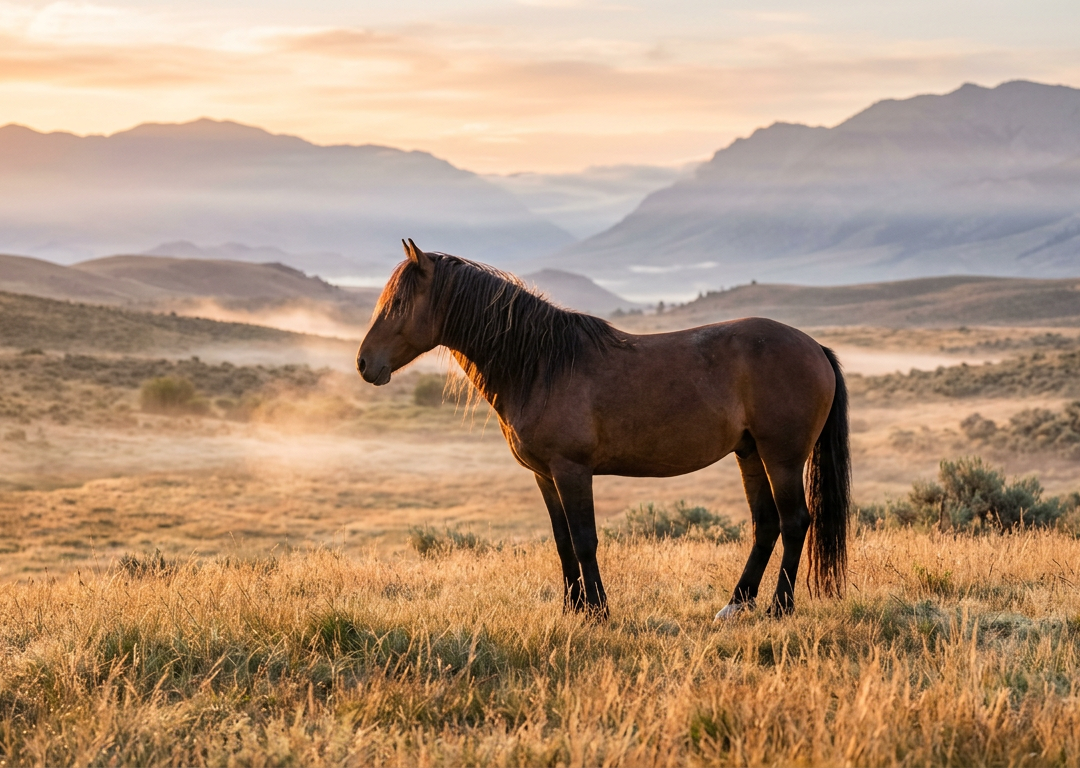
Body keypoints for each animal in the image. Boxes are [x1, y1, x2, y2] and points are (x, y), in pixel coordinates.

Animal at [357, 240, 851, 620]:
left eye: (398, 304)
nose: (364, 364)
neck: (541, 365)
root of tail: (815, 347)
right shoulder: (545, 475)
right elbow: (562, 543)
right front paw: (571, 608)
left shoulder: (572, 470)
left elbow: (584, 541)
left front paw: (597, 611)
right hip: (749, 453)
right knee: (765, 524)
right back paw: (735, 605)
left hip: (781, 457)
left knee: (794, 521)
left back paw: (779, 608)